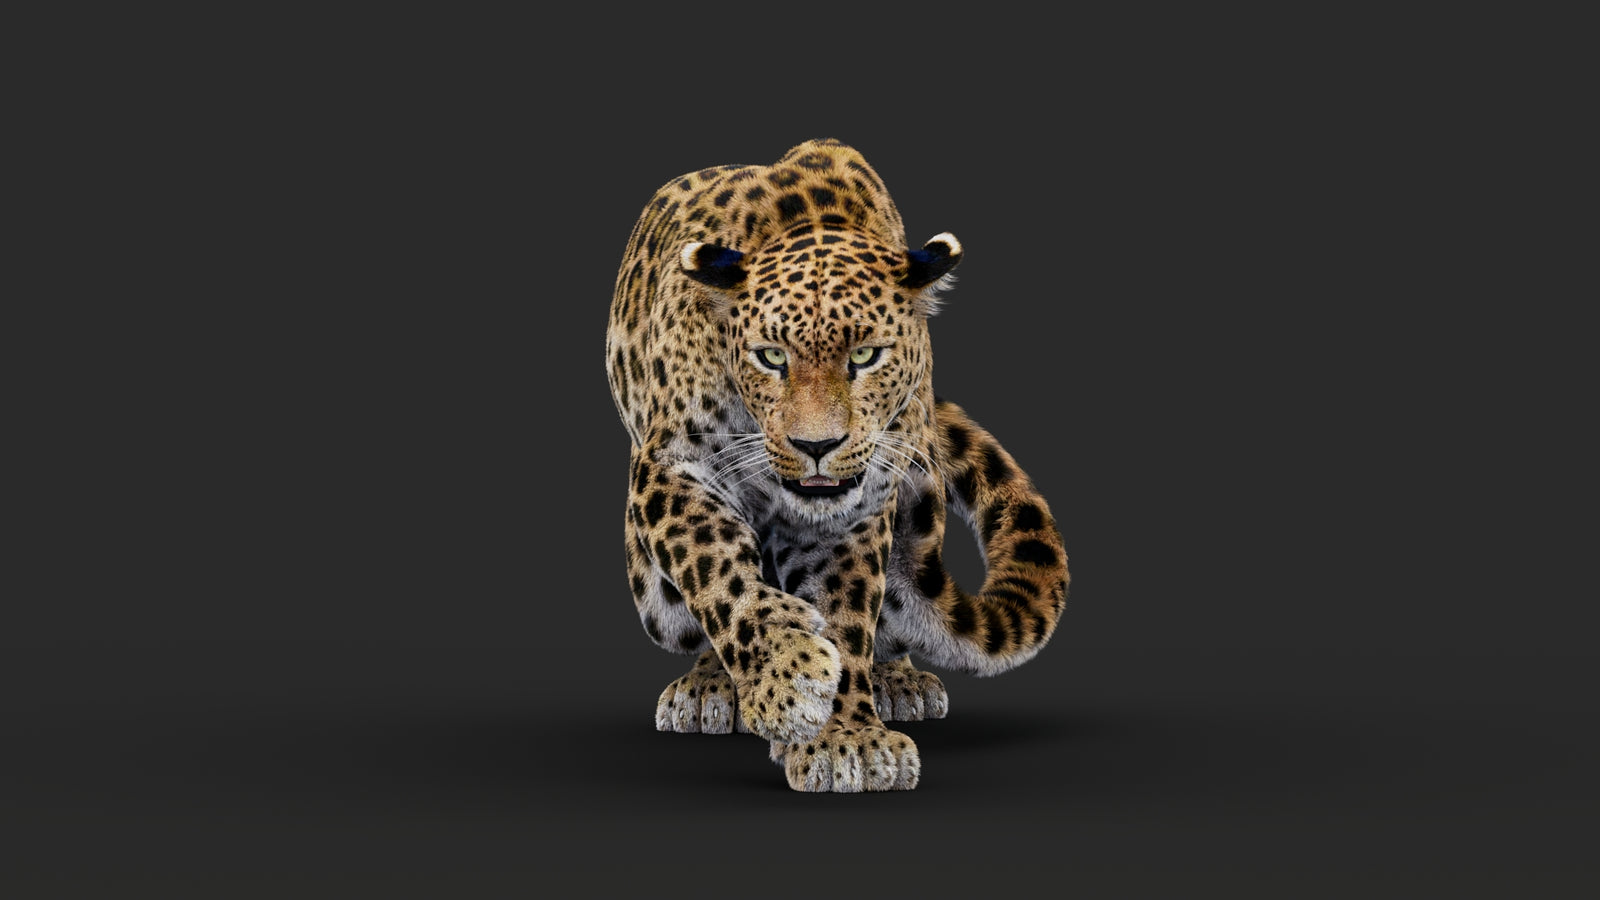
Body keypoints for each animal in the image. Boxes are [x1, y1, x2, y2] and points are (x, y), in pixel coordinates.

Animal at [606, 138, 1070, 792]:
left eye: (866, 355)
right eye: (772, 357)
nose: (816, 446)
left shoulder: (859, 509)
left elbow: (847, 609)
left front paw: (845, 737)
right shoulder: (674, 464)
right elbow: (718, 568)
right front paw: (788, 671)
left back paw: (898, 681)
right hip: (653, 597)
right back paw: (711, 686)